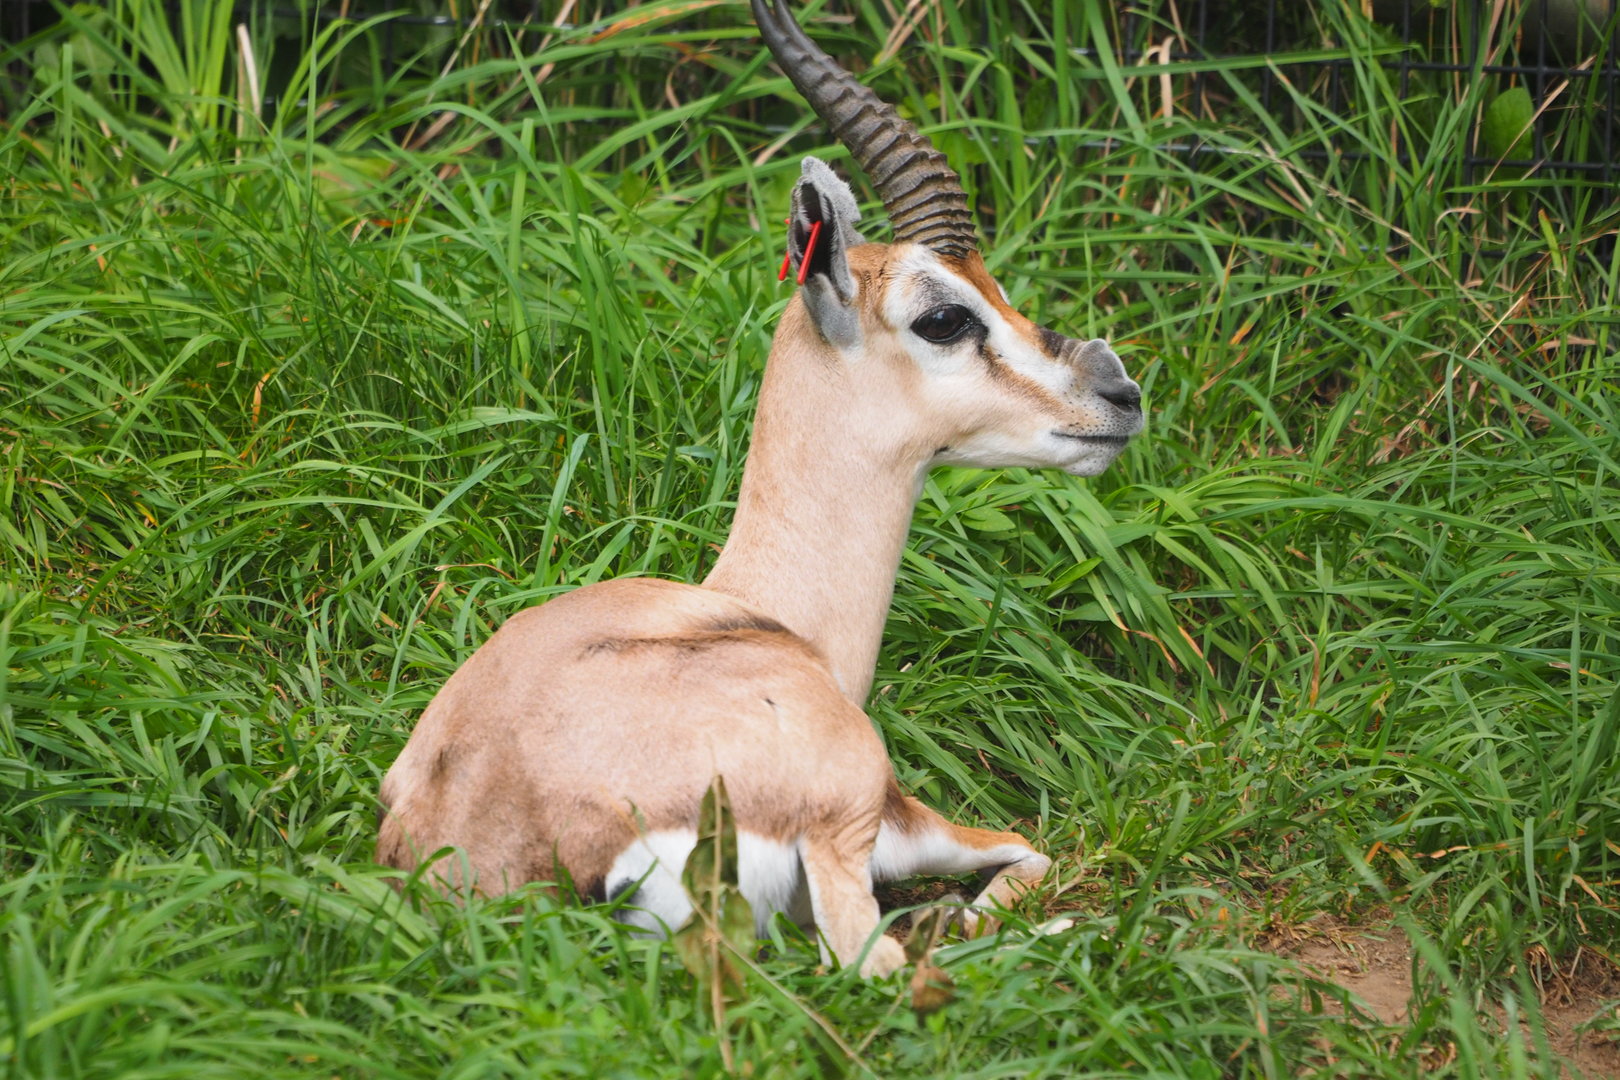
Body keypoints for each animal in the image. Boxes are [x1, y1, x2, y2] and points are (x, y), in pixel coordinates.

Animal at [375, 0, 1144, 978]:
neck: (763, 610)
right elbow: (1028, 854)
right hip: (853, 826)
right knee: (885, 961)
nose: (1119, 397)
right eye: (944, 316)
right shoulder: (886, 809)